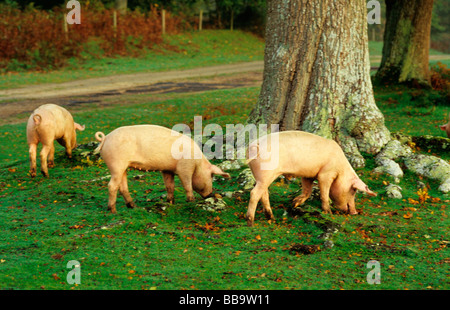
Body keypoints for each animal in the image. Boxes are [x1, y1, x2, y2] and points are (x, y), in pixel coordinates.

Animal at [93, 123, 230, 213]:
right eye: (211, 176)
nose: (211, 194)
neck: (198, 163)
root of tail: (105, 138)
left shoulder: (167, 170)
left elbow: (170, 186)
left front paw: (170, 202)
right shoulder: (184, 168)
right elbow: (187, 184)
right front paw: (190, 201)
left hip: (123, 167)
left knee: (122, 187)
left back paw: (133, 206)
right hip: (116, 164)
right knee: (112, 186)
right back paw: (113, 211)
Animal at [246, 130, 376, 226]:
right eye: (353, 190)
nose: (354, 212)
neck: (341, 169)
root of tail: (254, 146)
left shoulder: (308, 175)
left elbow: (307, 191)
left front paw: (294, 204)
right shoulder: (326, 174)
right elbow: (324, 193)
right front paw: (328, 212)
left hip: (263, 176)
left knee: (264, 194)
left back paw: (271, 218)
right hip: (267, 173)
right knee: (254, 193)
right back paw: (250, 222)